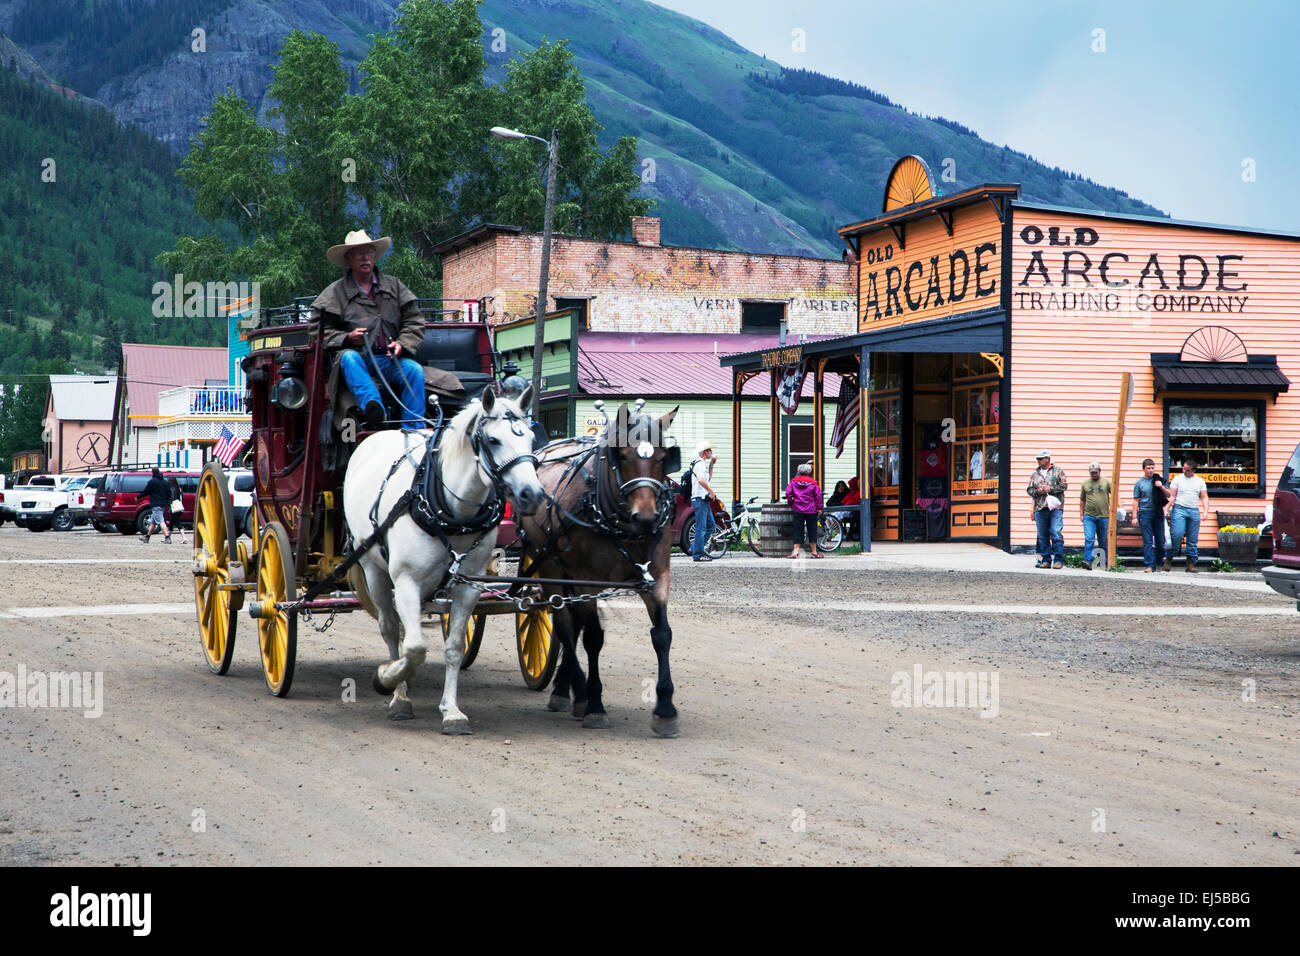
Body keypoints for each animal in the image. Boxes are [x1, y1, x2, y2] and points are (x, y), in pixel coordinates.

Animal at [340, 387, 543, 733]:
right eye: (493, 440)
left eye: (530, 437)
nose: (533, 494)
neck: (451, 513)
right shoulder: (406, 581)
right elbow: (415, 647)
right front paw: (388, 681)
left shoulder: (469, 586)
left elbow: (454, 647)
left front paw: (451, 710)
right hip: (374, 570)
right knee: (391, 629)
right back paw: (398, 689)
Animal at [514, 403, 686, 738]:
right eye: (623, 456)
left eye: (663, 458)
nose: (646, 517)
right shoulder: (586, 582)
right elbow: (593, 638)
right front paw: (594, 704)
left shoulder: (657, 578)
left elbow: (662, 635)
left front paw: (665, 709)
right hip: (550, 566)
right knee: (565, 626)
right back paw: (578, 693)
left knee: (571, 624)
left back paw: (563, 688)